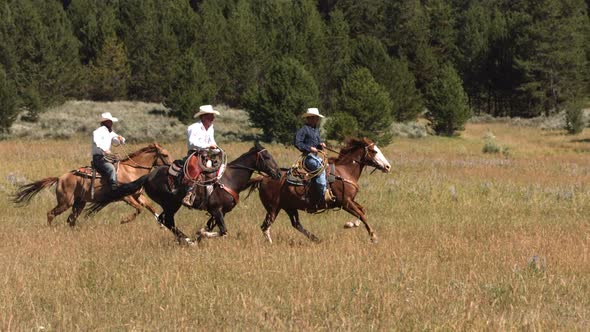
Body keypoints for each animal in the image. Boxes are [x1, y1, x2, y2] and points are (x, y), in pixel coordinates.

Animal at [12, 143, 172, 226]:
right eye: (165, 155)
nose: (171, 166)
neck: (131, 170)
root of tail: (60, 178)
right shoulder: (126, 197)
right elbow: (139, 209)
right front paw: (124, 220)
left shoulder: (138, 195)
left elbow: (150, 207)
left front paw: (161, 223)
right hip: (65, 202)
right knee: (51, 214)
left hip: (79, 203)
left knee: (71, 219)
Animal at [86, 142, 284, 244]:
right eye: (267, 157)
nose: (278, 173)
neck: (228, 179)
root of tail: (149, 175)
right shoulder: (217, 210)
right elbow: (223, 231)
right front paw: (199, 236)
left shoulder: (217, 212)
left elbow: (210, 227)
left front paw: (200, 235)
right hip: (171, 204)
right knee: (168, 221)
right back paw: (186, 240)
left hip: (169, 205)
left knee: (164, 221)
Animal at [249, 137, 394, 244]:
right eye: (374, 151)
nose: (388, 166)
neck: (344, 172)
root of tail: (263, 178)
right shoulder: (345, 202)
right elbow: (361, 214)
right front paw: (373, 237)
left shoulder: (350, 201)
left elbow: (362, 211)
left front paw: (350, 224)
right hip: (273, 208)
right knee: (266, 226)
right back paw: (271, 244)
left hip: (289, 207)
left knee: (296, 224)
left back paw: (316, 239)